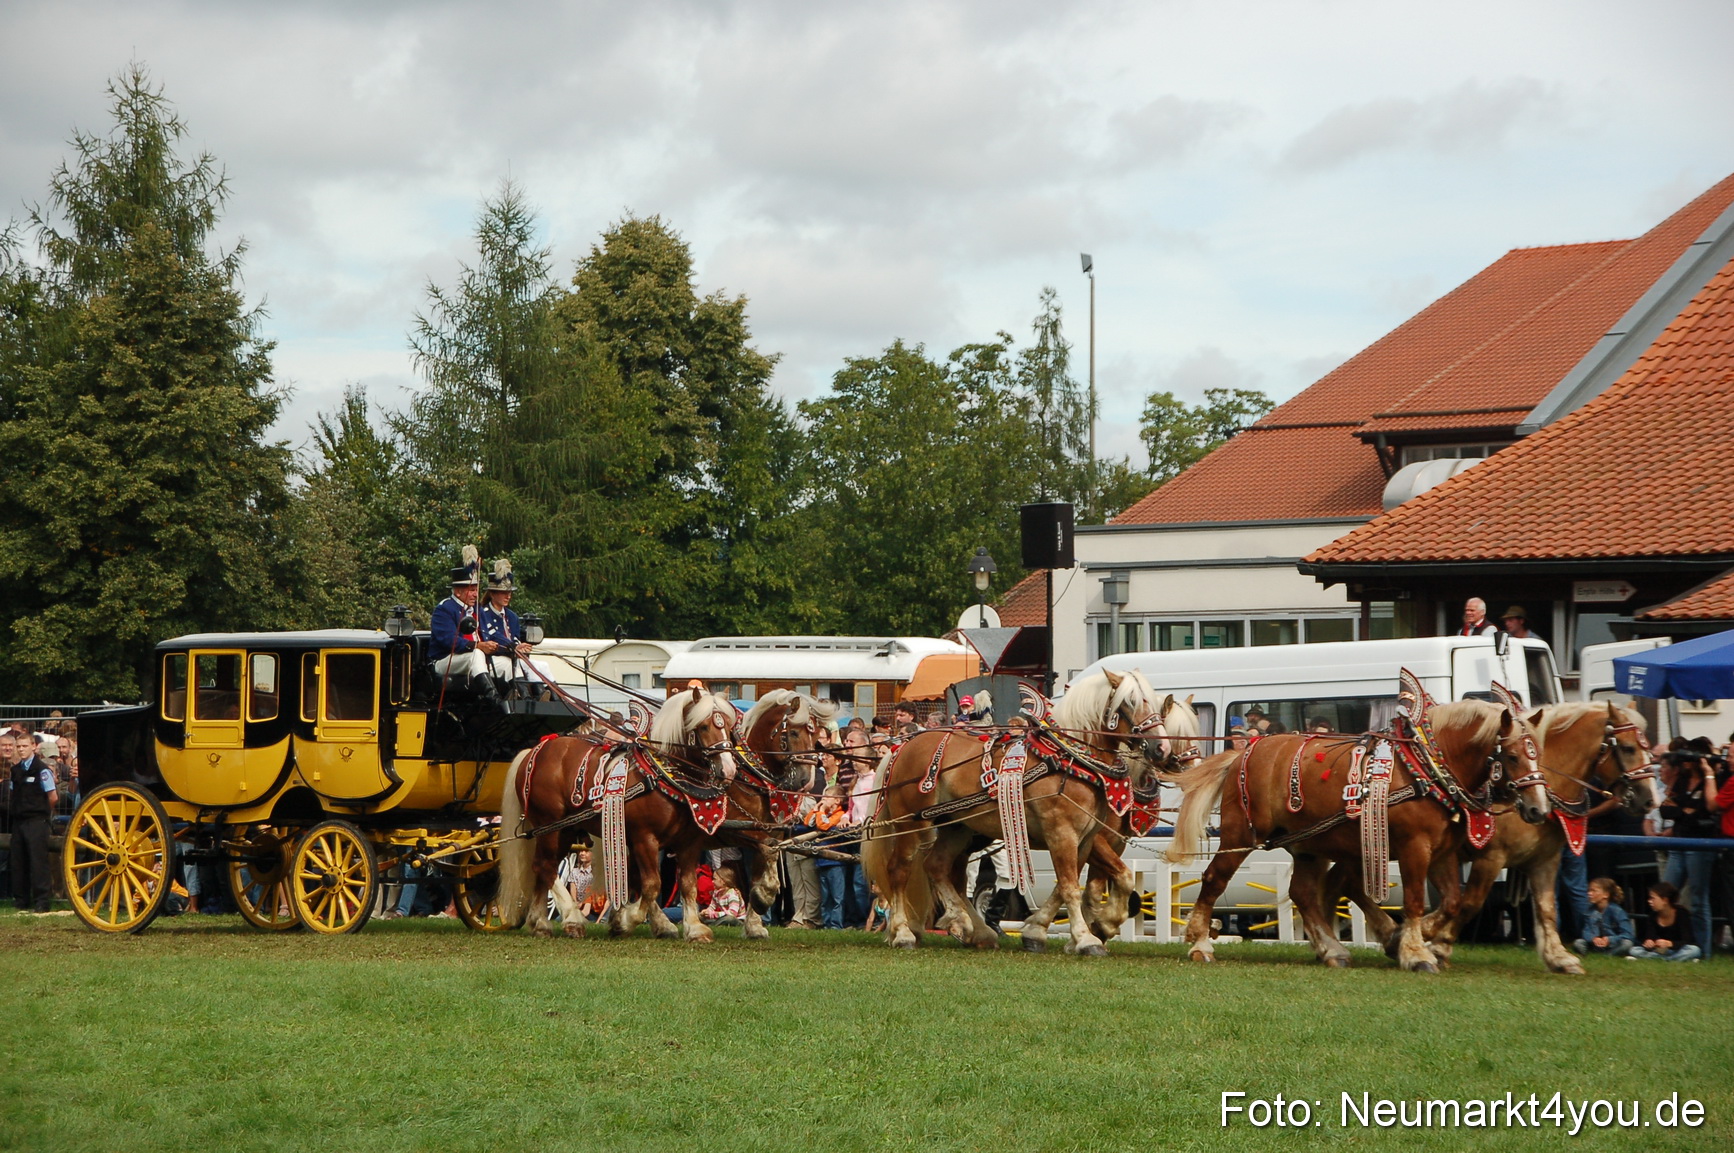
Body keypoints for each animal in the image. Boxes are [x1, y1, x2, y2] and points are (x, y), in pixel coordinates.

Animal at [497, 685, 739, 940]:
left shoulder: (689, 842)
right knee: (545, 866)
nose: (729, 769)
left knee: (544, 868)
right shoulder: (645, 838)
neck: (665, 778)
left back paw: (539, 922)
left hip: (565, 829)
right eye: (704, 726)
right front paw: (627, 920)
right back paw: (571, 919)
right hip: (549, 826)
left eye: (728, 726)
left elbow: (685, 884)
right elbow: (651, 884)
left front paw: (691, 928)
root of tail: (535, 749)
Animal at [862, 669, 1176, 957]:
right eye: (1131, 701)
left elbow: (1079, 884)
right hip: (911, 824)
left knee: (938, 867)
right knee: (899, 870)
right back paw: (904, 932)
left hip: (958, 826)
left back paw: (973, 927)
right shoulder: (1062, 832)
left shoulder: (1086, 839)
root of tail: (903, 746)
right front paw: (1088, 937)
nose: (1163, 749)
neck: (1072, 759)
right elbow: (1071, 886)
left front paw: (1054, 930)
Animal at [1163, 697, 1549, 971]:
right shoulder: (1415, 847)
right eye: (1512, 756)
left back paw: (1332, 949)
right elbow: (1414, 900)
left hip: (1309, 844)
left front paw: (1414, 938)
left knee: (1303, 893)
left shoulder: (1442, 852)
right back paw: (1200, 943)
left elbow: (1453, 901)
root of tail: (1243, 751)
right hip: (1241, 835)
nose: (1539, 810)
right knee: (1214, 878)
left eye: (1538, 753)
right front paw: (1415, 951)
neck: (1428, 766)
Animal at [1405, 701, 1658, 973]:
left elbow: (1547, 908)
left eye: (1648, 749)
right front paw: (1436, 945)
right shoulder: (1490, 858)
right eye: (1628, 747)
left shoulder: (1545, 860)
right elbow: (1470, 903)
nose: (1650, 800)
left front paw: (1559, 957)